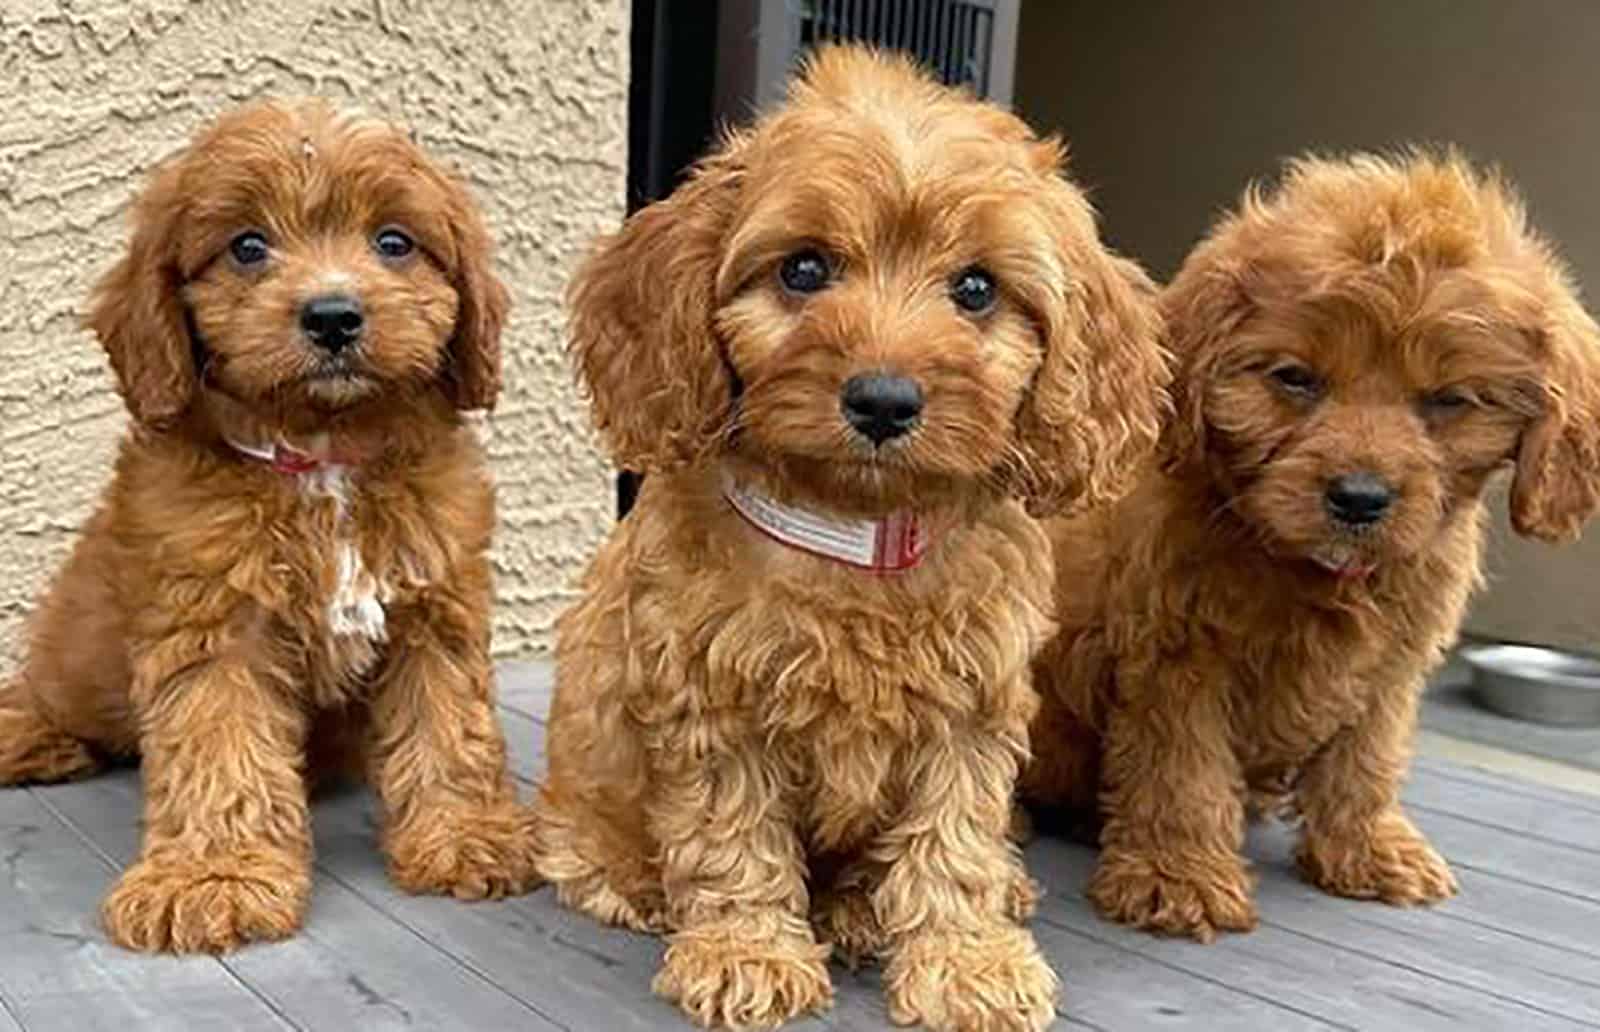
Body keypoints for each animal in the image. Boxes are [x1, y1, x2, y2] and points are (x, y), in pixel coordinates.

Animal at [0, 100, 540, 953]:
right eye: (248, 246)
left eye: (394, 241)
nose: (333, 316)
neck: (322, 455)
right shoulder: (214, 623)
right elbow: (219, 744)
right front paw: (213, 876)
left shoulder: (434, 604)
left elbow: (450, 722)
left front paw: (466, 835)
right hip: (83, 660)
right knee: (46, 690)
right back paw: (31, 739)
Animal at [531, 46, 1171, 1030]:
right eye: (803, 269)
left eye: (977, 288)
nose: (883, 400)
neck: (855, 532)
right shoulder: (713, 703)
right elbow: (731, 836)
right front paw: (747, 952)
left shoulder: (971, 708)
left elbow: (953, 843)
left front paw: (967, 961)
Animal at [1017, 151, 1600, 940]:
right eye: (1294, 378)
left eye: (1449, 400)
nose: (1359, 497)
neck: (1312, 570)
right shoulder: (1180, 654)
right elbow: (1183, 768)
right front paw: (1180, 877)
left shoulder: (1391, 663)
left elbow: (1368, 756)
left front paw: (1368, 849)